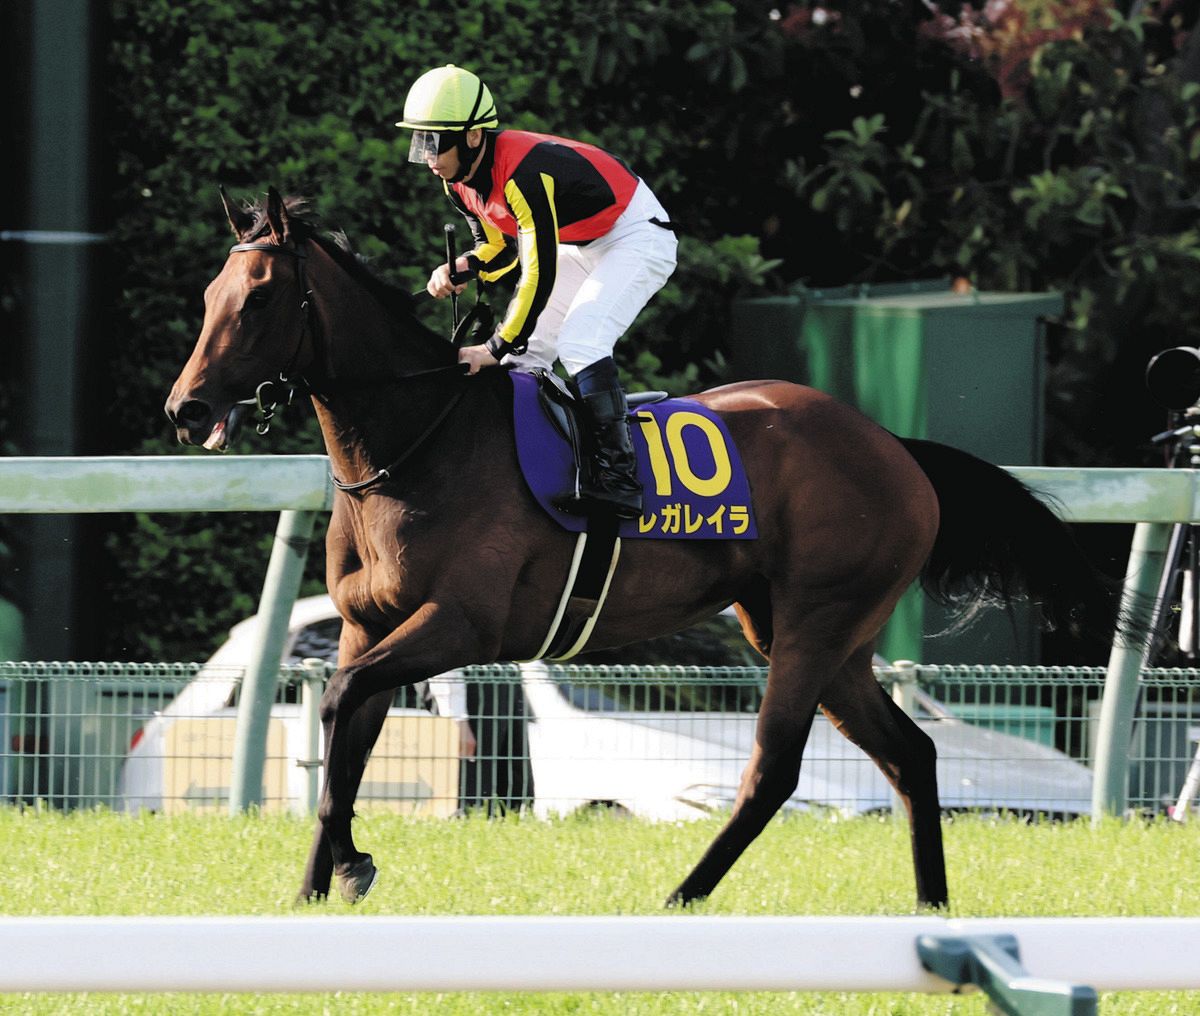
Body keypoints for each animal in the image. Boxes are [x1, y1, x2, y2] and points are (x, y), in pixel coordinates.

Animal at [166, 187, 1122, 908]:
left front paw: (352, 865)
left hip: (817, 621)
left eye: (258, 298)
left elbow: (341, 707)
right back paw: (931, 905)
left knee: (773, 771)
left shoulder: (462, 625)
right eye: (209, 297)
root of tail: (896, 447)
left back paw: (682, 896)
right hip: (820, 636)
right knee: (911, 753)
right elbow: (346, 733)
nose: (186, 408)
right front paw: (315, 886)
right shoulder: (369, 626)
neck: (419, 441)